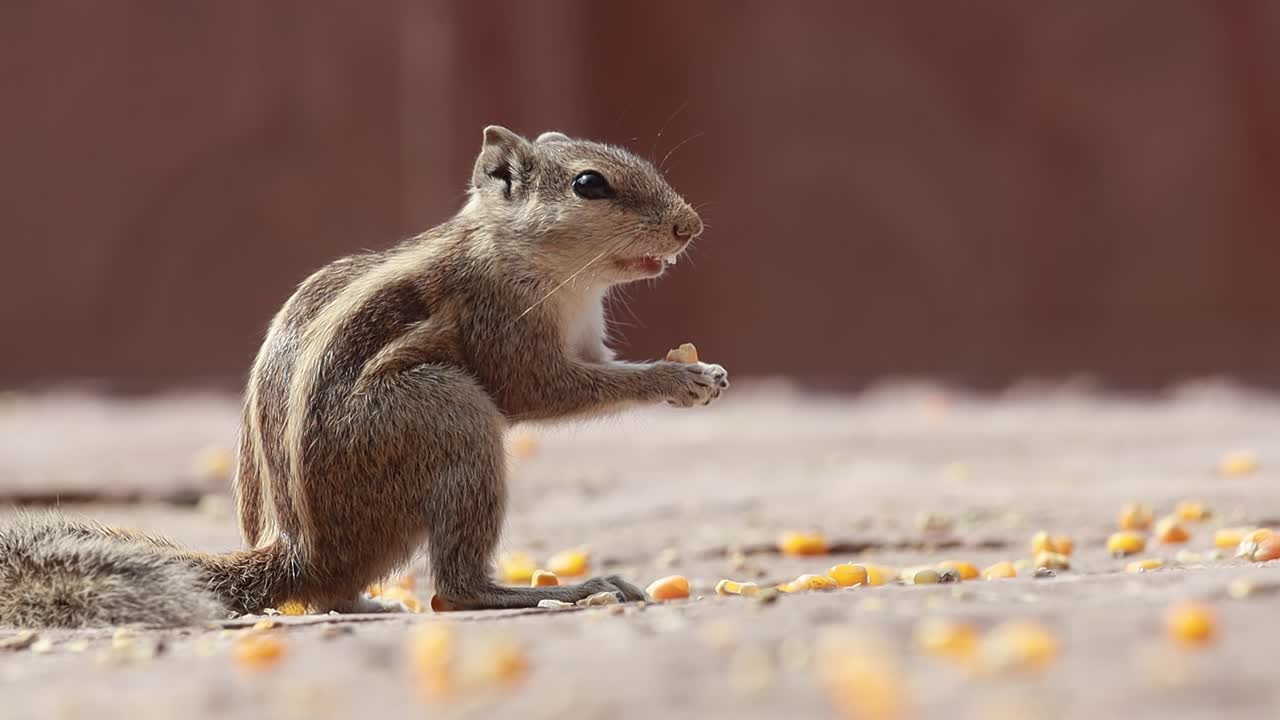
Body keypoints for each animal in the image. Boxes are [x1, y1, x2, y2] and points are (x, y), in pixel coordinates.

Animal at [0, 126, 728, 628]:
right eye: (590, 185)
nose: (691, 225)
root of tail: (301, 552)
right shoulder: (499, 320)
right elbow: (540, 390)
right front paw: (676, 378)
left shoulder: (584, 339)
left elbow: (599, 371)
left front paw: (698, 369)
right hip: (447, 413)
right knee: (453, 590)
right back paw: (556, 592)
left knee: (337, 594)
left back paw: (372, 604)